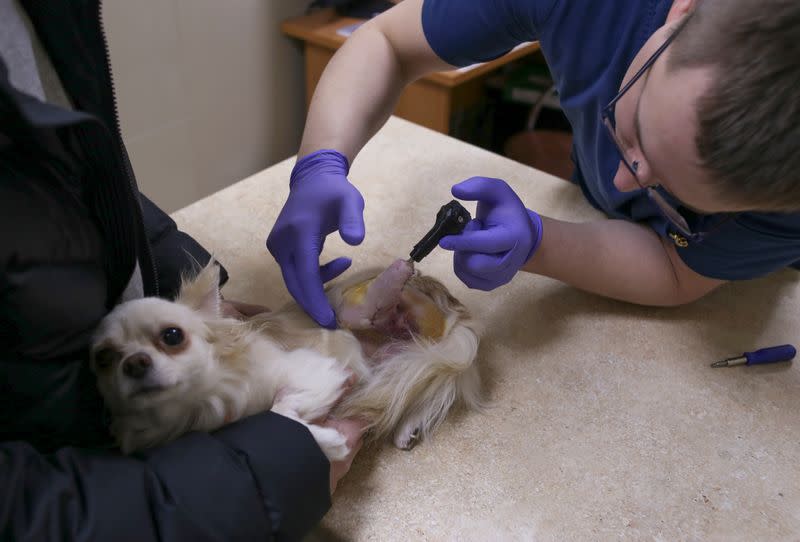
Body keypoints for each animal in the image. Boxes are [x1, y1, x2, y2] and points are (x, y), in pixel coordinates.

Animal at [92, 260, 482, 460]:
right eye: (104, 359)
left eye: (172, 336)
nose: (135, 362)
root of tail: (450, 304)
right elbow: (281, 417)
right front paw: (328, 443)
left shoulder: (313, 369)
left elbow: (279, 408)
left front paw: (329, 442)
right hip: (407, 356)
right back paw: (406, 428)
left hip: (350, 311)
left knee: (361, 315)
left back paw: (393, 279)